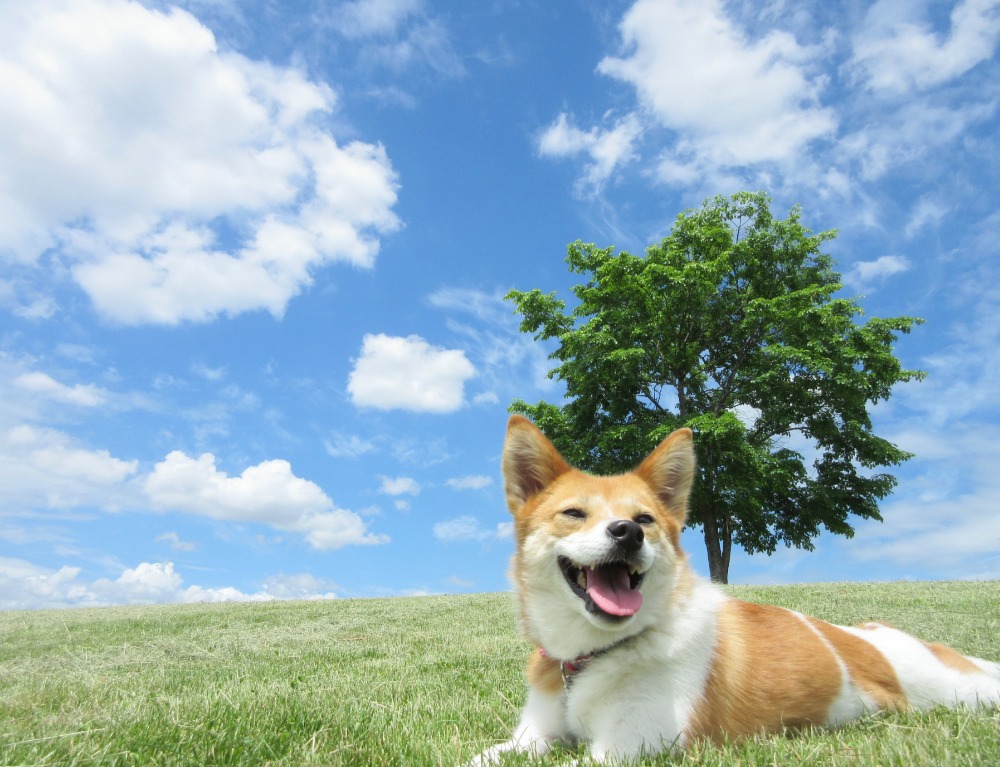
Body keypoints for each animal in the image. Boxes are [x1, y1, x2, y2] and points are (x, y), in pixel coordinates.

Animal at [472, 416, 1000, 764]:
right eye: (574, 514)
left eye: (645, 519)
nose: (628, 532)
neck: (592, 657)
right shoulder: (530, 739)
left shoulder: (626, 748)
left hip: (960, 692)